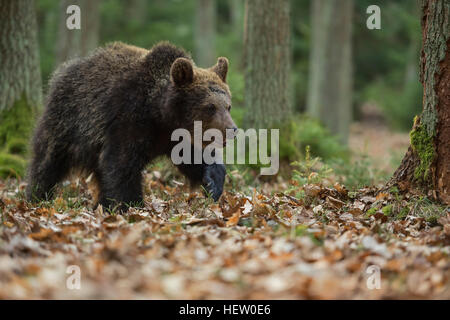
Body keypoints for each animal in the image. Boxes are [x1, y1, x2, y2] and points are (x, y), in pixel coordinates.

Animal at [25, 41, 237, 211]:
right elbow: (122, 166)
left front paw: (213, 182)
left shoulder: (174, 136)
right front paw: (132, 204)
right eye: (210, 107)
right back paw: (37, 196)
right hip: (67, 121)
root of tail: (63, 71)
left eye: (228, 105)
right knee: (48, 160)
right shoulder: (127, 119)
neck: (160, 114)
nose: (232, 129)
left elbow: (192, 157)